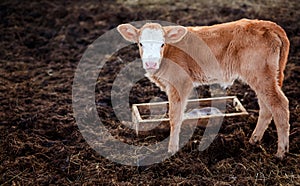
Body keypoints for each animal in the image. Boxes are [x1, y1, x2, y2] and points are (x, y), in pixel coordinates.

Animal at [118, 18, 290, 158]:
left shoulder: (180, 83)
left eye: (162, 44)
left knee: (279, 104)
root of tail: (265, 24)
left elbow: (175, 117)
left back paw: (281, 152)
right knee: (266, 107)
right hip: (262, 77)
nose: (151, 63)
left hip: (260, 74)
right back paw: (254, 140)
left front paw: (172, 149)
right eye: (141, 43)